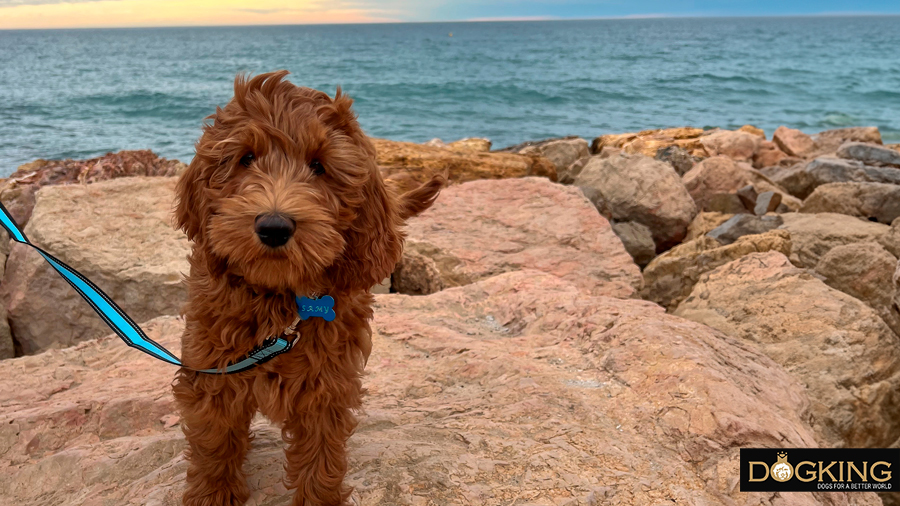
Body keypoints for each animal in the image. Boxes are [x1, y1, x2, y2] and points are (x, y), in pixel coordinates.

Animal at [171, 72, 442, 506]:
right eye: (246, 158)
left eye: (319, 166)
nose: (274, 226)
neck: (277, 298)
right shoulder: (211, 363)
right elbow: (215, 438)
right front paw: (212, 494)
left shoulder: (328, 376)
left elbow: (321, 454)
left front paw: (319, 496)